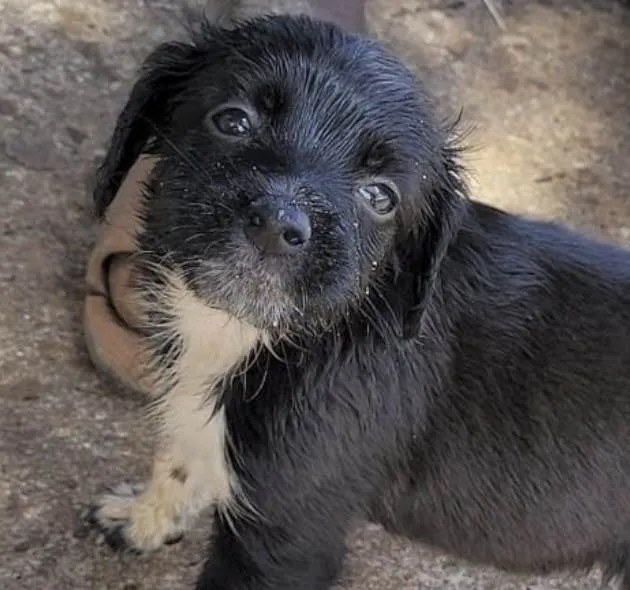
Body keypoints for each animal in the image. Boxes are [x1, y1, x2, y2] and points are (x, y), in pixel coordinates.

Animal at [85, 9, 630, 590]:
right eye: (233, 121)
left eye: (380, 196)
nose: (277, 224)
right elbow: (178, 459)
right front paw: (142, 519)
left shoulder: (286, 531)